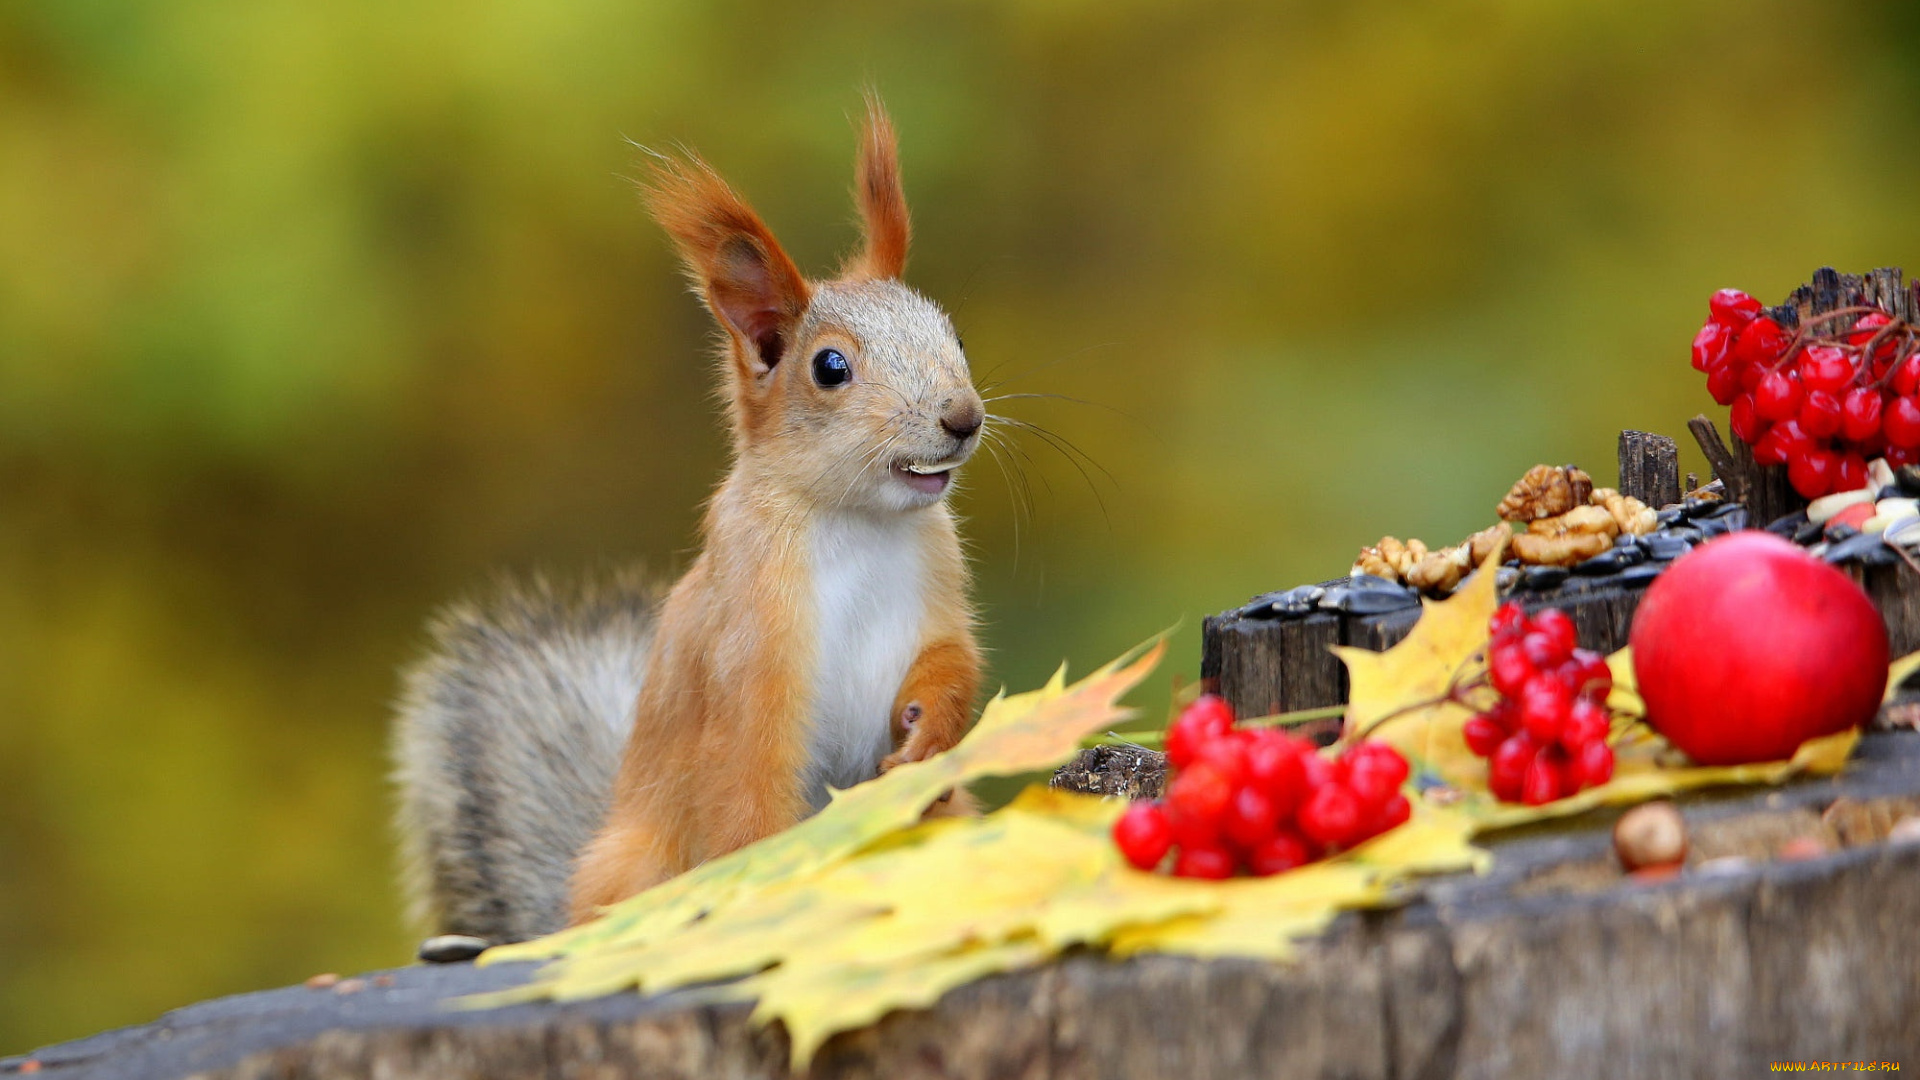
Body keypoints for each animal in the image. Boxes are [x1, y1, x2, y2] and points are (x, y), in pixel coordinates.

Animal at [391, 98, 990, 941]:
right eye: (830, 367)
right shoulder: (749, 644)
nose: (963, 418)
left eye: (954, 334)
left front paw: (927, 731)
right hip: (638, 864)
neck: (859, 523)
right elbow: (747, 784)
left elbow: (953, 660)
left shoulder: (937, 587)